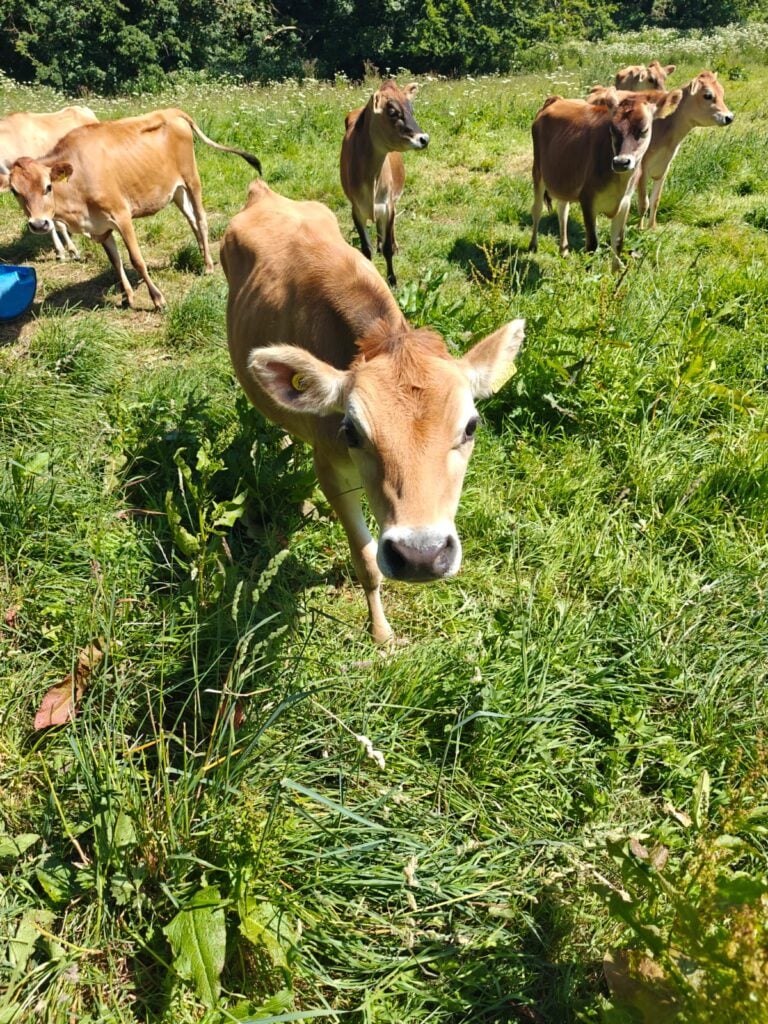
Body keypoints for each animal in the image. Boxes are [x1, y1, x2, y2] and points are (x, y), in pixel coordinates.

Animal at [0, 105, 98, 259]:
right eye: (14, 191)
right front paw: (60, 251)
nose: (38, 225)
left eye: (47, 187)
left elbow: (56, 223)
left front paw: (72, 250)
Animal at [221, 181, 525, 643]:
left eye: (471, 426)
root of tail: (264, 192)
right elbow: (366, 559)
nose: (421, 556)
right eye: (351, 431)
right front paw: (381, 633)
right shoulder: (333, 471)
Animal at [340, 80, 429, 288]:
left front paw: (392, 280)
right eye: (393, 112)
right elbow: (366, 249)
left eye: (411, 109)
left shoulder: (388, 206)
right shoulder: (356, 209)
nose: (424, 139)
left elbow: (388, 247)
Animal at [529, 88, 682, 270]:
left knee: (562, 210)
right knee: (537, 209)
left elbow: (618, 242)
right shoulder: (588, 200)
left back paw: (564, 250)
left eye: (644, 130)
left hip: (563, 177)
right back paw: (533, 246)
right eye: (612, 130)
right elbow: (592, 245)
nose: (621, 162)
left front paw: (615, 272)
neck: (620, 183)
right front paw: (588, 273)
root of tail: (556, 99)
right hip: (537, 171)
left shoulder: (625, 202)